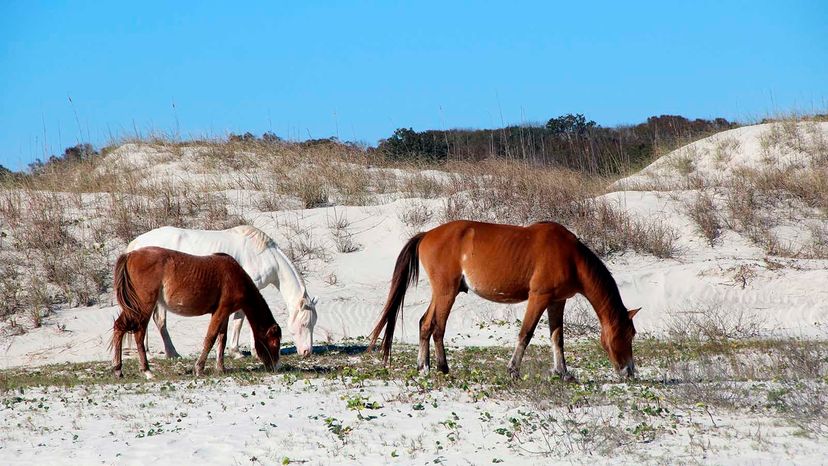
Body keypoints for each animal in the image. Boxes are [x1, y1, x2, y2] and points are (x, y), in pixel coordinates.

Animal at [111, 248, 284, 378]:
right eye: (275, 342)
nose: (276, 367)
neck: (235, 276)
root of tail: (130, 255)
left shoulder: (225, 314)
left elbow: (222, 339)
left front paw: (221, 368)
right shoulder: (221, 311)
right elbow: (211, 338)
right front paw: (199, 368)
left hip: (134, 308)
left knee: (119, 327)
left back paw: (118, 369)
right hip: (144, 307)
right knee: (139, 334)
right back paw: (147, 371)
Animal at [126, 225, 316, 356]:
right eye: (304, 324)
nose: (307, 352)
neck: (264, 257)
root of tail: (136, 244)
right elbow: (240, 319)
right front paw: (240, 351)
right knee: (156, 320)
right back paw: (166, 353)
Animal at [368, 221, 640, 378]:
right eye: (628, 335)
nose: (629, 372)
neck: (571, 257)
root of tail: (427, 234)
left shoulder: (556, 301)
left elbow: (557, 338)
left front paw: (562, 372)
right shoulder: (538, 298)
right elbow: (526, 334)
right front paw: (513, 370)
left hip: (443, 292)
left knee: (425, 324)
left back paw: (423, 365)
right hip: (446, 292)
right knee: (437, 327)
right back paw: (439, 367)